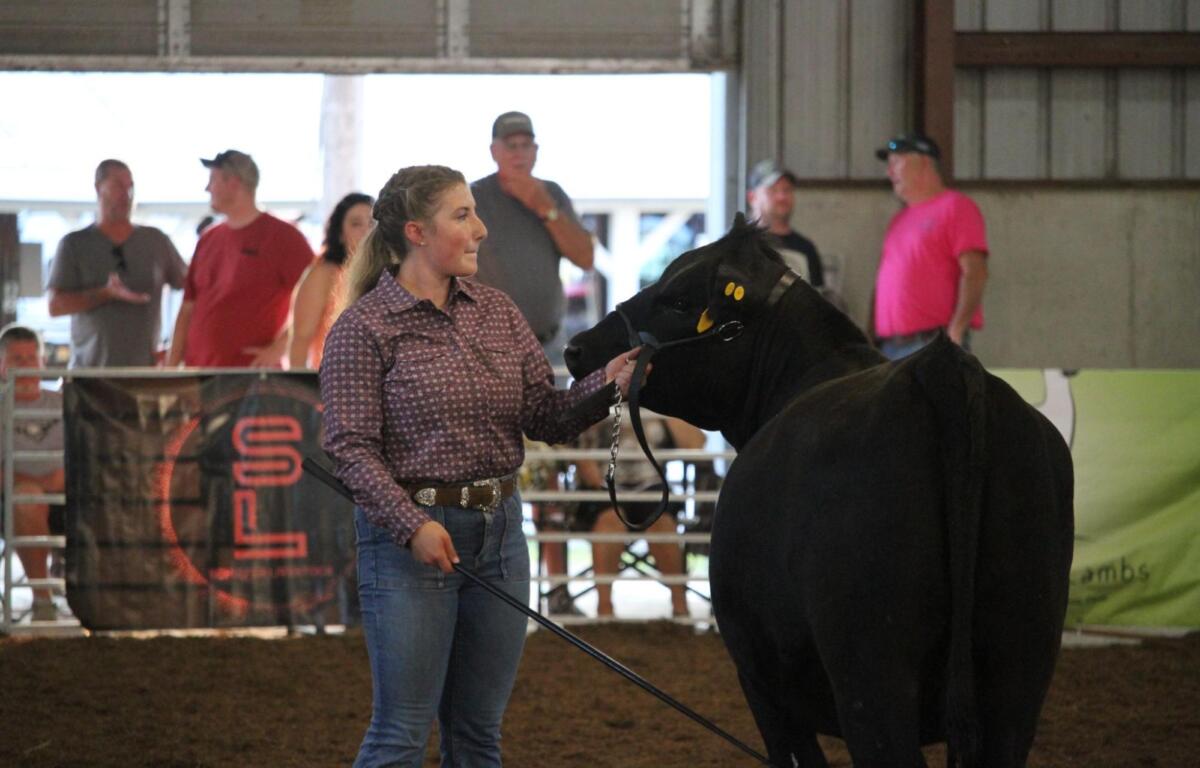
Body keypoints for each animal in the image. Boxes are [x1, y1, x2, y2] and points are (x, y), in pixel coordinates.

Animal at [564, 215, 1074, 768]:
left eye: (678, 299)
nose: (576, 348)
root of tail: (942, 367)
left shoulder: (762, 683)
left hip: (870, 671)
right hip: (1020, 669)